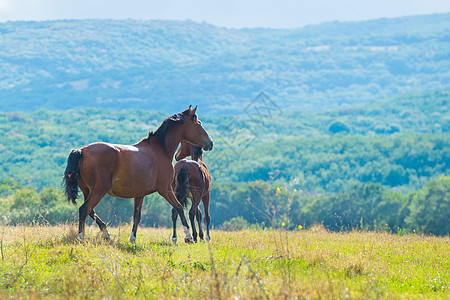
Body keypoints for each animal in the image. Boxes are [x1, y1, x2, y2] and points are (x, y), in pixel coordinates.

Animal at [62, 106, 214, 243]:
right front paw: (188, 236)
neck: (160, 149)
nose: (210, 143)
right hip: (99, 190)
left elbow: (137, 216)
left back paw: (106, 234)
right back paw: (82, 238)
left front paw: (132, 239)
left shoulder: (139, 195)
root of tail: (81, 151)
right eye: (198, 123)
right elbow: (179, 208)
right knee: (84, 209)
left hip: (87, 190)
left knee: (91, 211)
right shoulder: (165, 189)